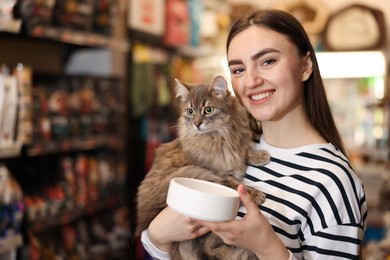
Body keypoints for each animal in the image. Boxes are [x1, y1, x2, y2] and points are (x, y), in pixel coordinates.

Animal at [136, 75, 270, 260]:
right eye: (190, 112)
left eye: (208, 110)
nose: (197, 124)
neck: (218, 137)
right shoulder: (215, 173)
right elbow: (236, 185)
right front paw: (255, 194)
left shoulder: (235, 146)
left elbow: (244, 150)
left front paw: (259, 156)